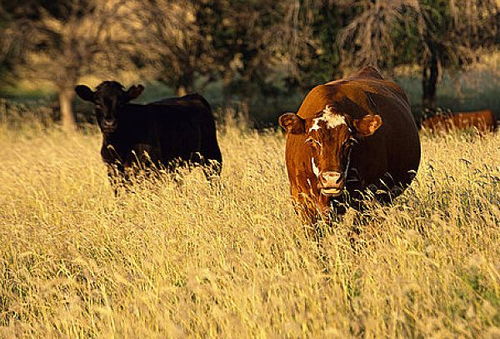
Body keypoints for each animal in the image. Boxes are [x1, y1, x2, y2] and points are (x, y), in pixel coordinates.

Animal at [74, 80, 223, 190]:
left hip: (212, 156)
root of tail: (194, 96)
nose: (109, 123)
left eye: (121, 103)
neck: (120, 145)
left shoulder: (150, 169)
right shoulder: (113, 170)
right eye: (97, 103)